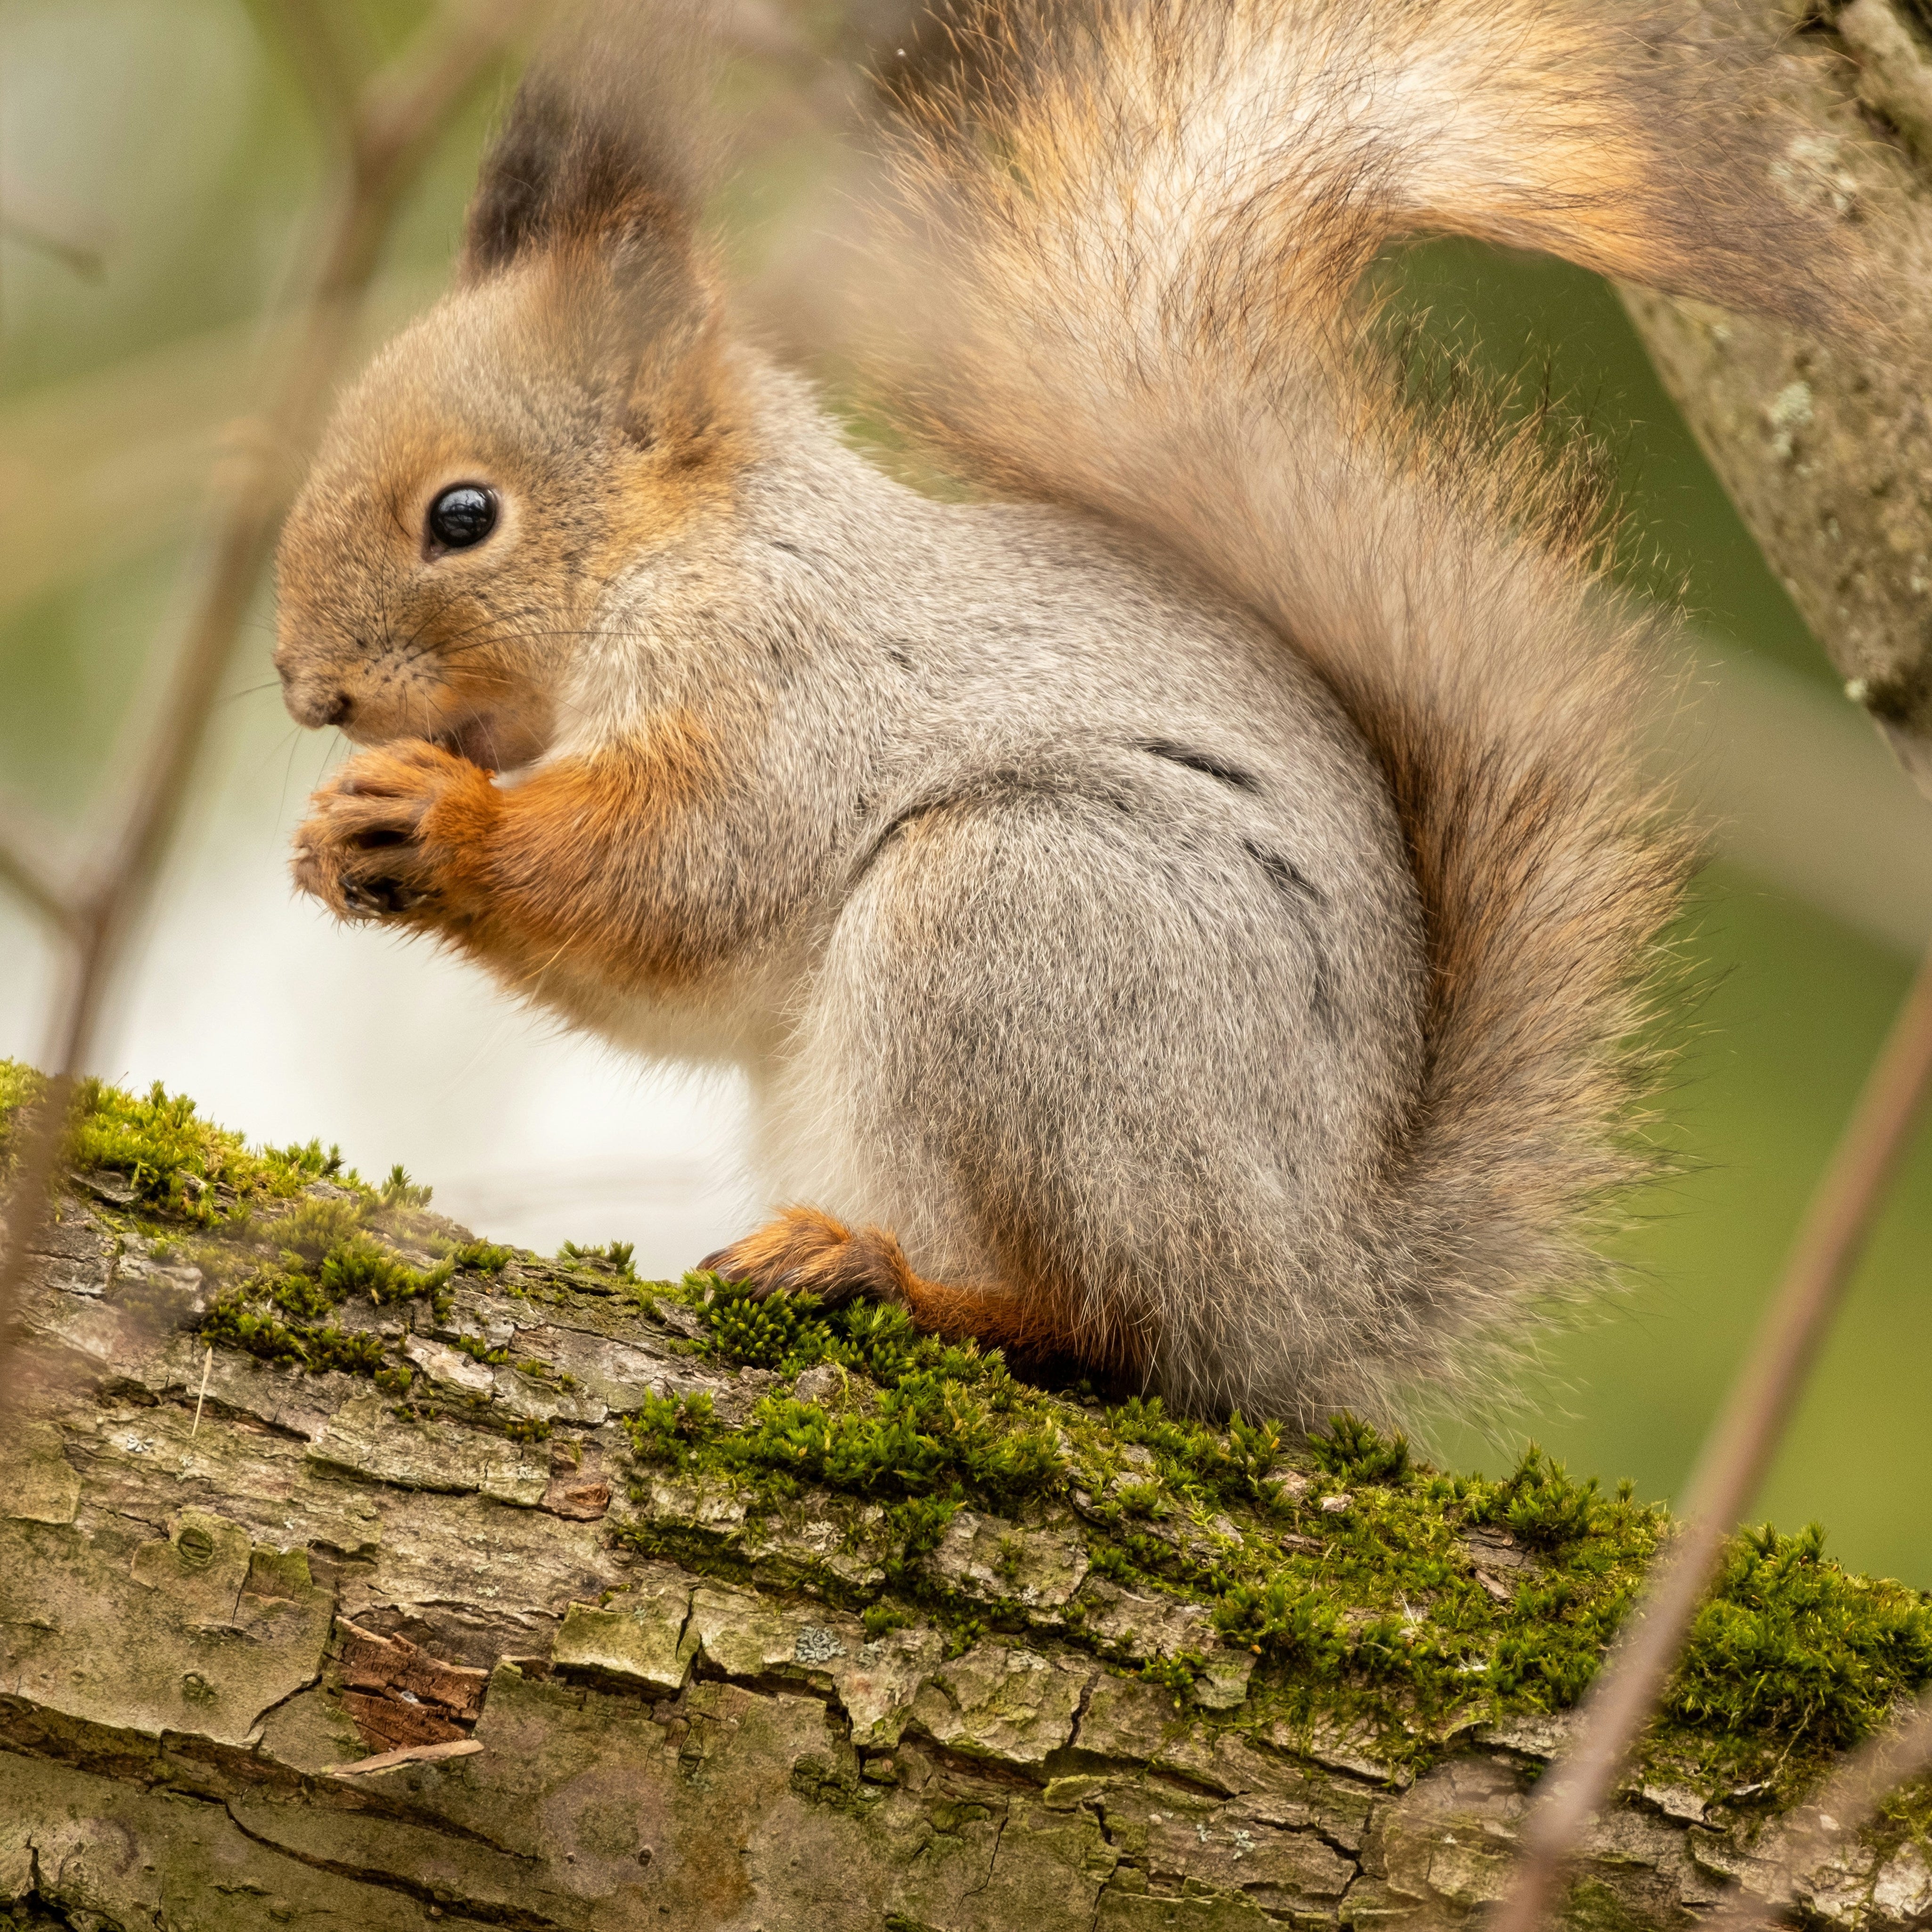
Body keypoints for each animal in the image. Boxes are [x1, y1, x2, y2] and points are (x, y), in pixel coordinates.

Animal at [274, 0, 1851, 1428]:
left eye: (462, 517)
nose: (307, 691)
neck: (674, 552)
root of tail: (1311, 1293)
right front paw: (337, 835)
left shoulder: (782, 680)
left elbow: (687, 873)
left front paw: (438, 817)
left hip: (1020, 927)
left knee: (1112, 1328)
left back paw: (890, 1278)